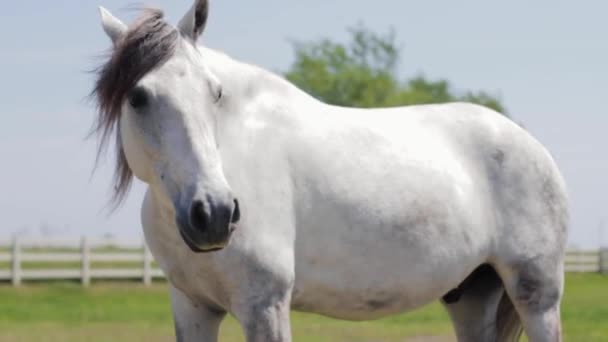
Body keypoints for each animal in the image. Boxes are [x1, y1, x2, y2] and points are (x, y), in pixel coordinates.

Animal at [92, 1, 568, 340]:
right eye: (137, 97)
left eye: (216, 92)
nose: (214, 214)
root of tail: (532, 146)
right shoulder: (193, 307)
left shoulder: (264, 307)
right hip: (471, 296)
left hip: (537, 297)